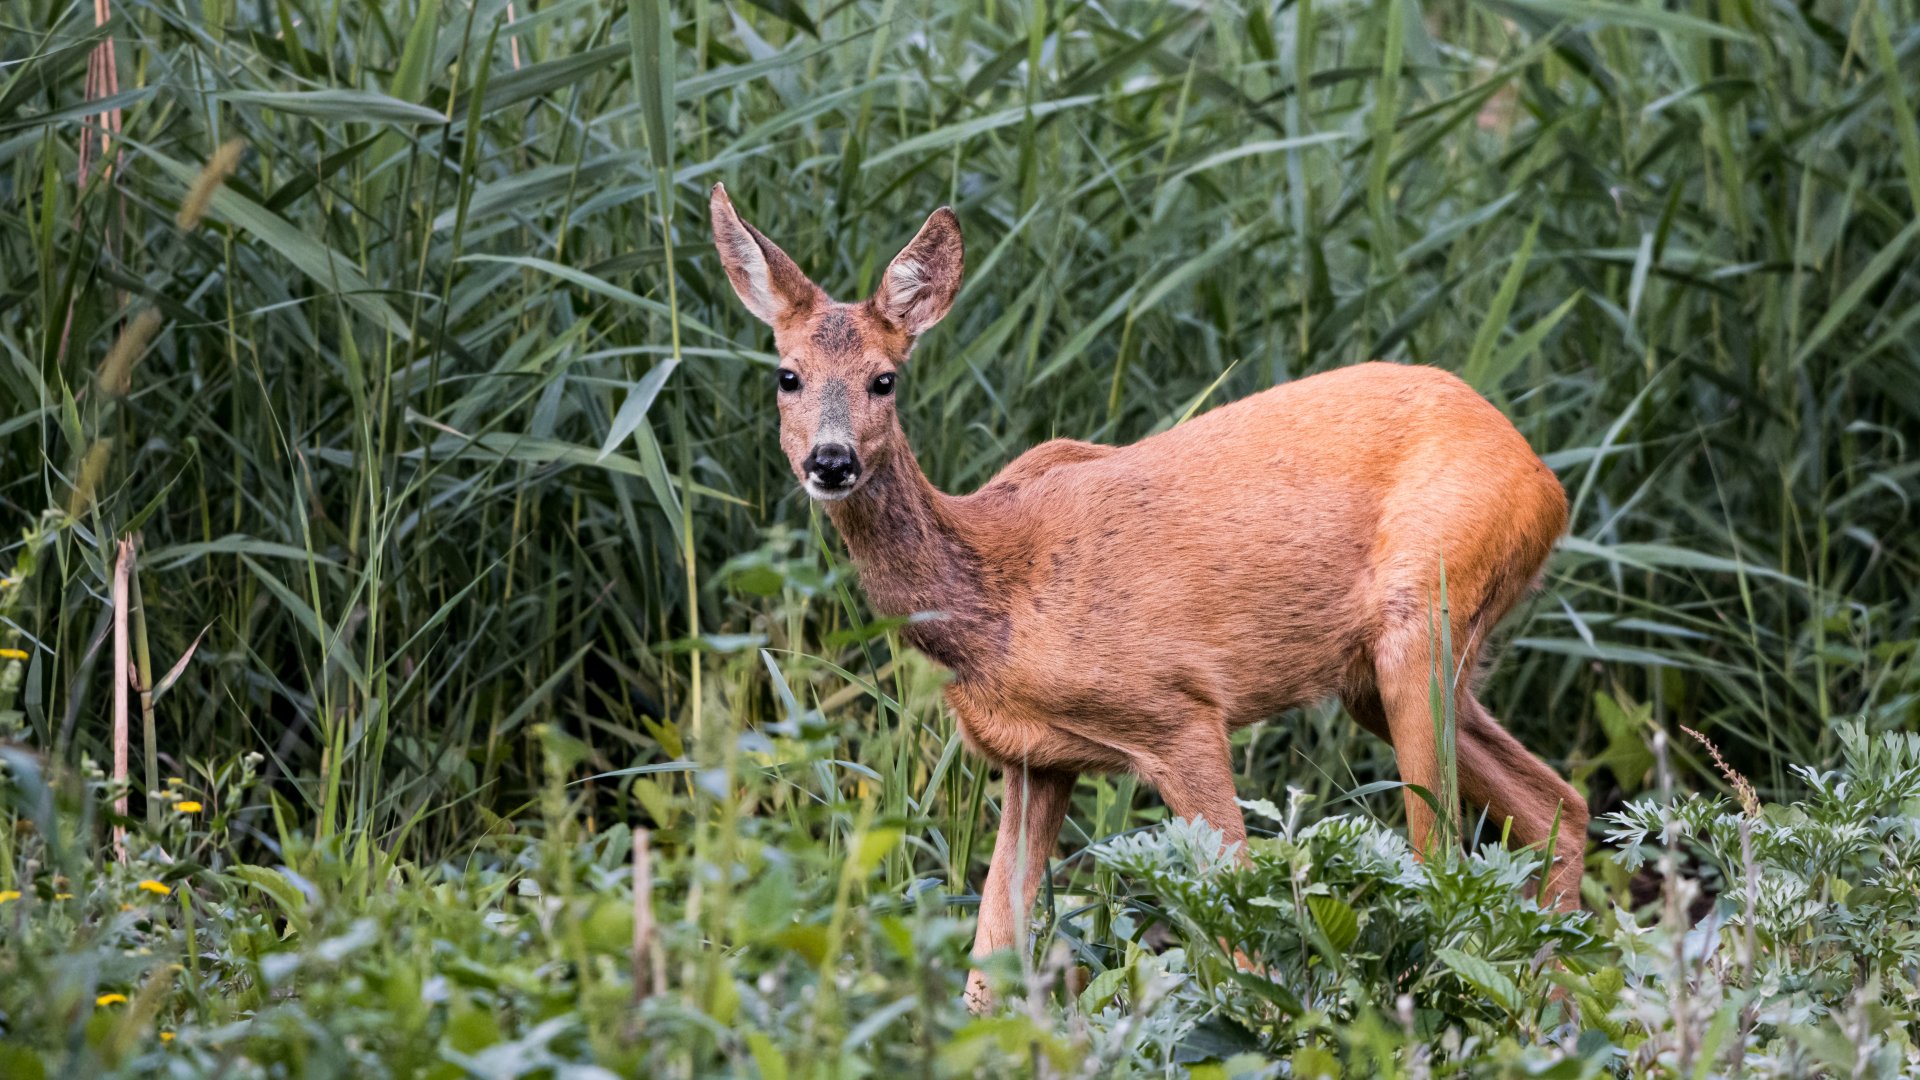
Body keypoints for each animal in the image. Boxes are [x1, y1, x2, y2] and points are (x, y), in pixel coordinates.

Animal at [708, 183, 1586, 1012]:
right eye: (788, 376)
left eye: (883, 380)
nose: (831, 461)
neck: (1000, 592)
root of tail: (1544, 478)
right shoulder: (1033, 761)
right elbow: (991, 957)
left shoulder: (1180, 711)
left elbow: (1242, 937)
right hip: (1378, 673)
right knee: (1559, 807)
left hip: (1424, 616)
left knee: (1440, 860)